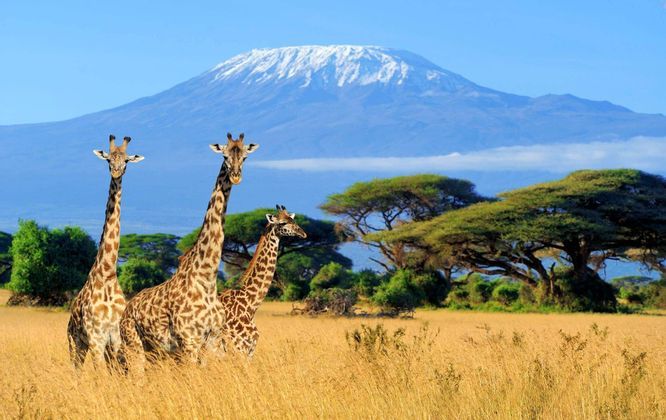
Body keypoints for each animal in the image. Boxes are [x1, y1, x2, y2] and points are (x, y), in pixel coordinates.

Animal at [67, 135, 144, 369]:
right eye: (109, 159)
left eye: (126, 160)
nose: (116, 172)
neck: (108, 273)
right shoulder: (96, 339)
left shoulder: (115, 338)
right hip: (75, 343)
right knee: (75, 370)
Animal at [120, 133, 258, 372]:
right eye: (224, 155)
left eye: (245, 157)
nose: (236, 176)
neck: (206, 278)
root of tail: (126, 311)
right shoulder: (189, 341)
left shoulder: (213, 340)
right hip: (134, 344)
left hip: (155, 350)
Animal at [217, 205, 307, 358]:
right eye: (282, 223)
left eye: (293, 220)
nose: (303, 233)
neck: (250, 305)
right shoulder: (240, 346)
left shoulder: (248, 348)